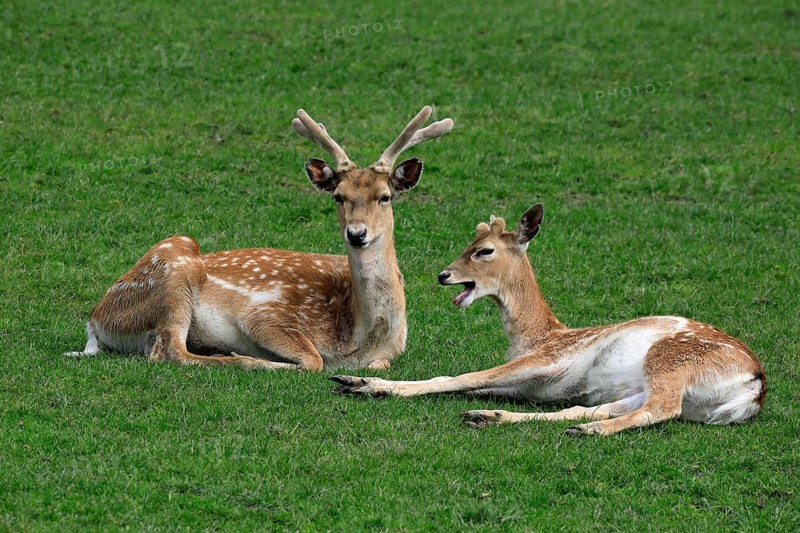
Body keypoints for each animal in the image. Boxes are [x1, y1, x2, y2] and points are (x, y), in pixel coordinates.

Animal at [65, 106, 454, 371]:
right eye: (338, 196)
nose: (357, 234)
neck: (359, 339)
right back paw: (236, 356)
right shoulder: (264, 315)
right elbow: (313, 360)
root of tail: (94, 320)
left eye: (385, 196)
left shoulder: (387, 356)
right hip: (174, 271)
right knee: (169, 350)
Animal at [332, 204, 767, 435]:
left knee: (661, 408)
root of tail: (754, 388)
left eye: (485, 250)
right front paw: (357, 382)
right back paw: (489, 417)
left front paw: (365, 383)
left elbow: (458, 377)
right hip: (647, 389)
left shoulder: (548, 359)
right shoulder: (540, 386)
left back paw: (590, 432)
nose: (443, 275)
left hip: (671, 361)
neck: (538, 336)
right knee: (591, 410)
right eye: (469, 243)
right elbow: (475, 384)